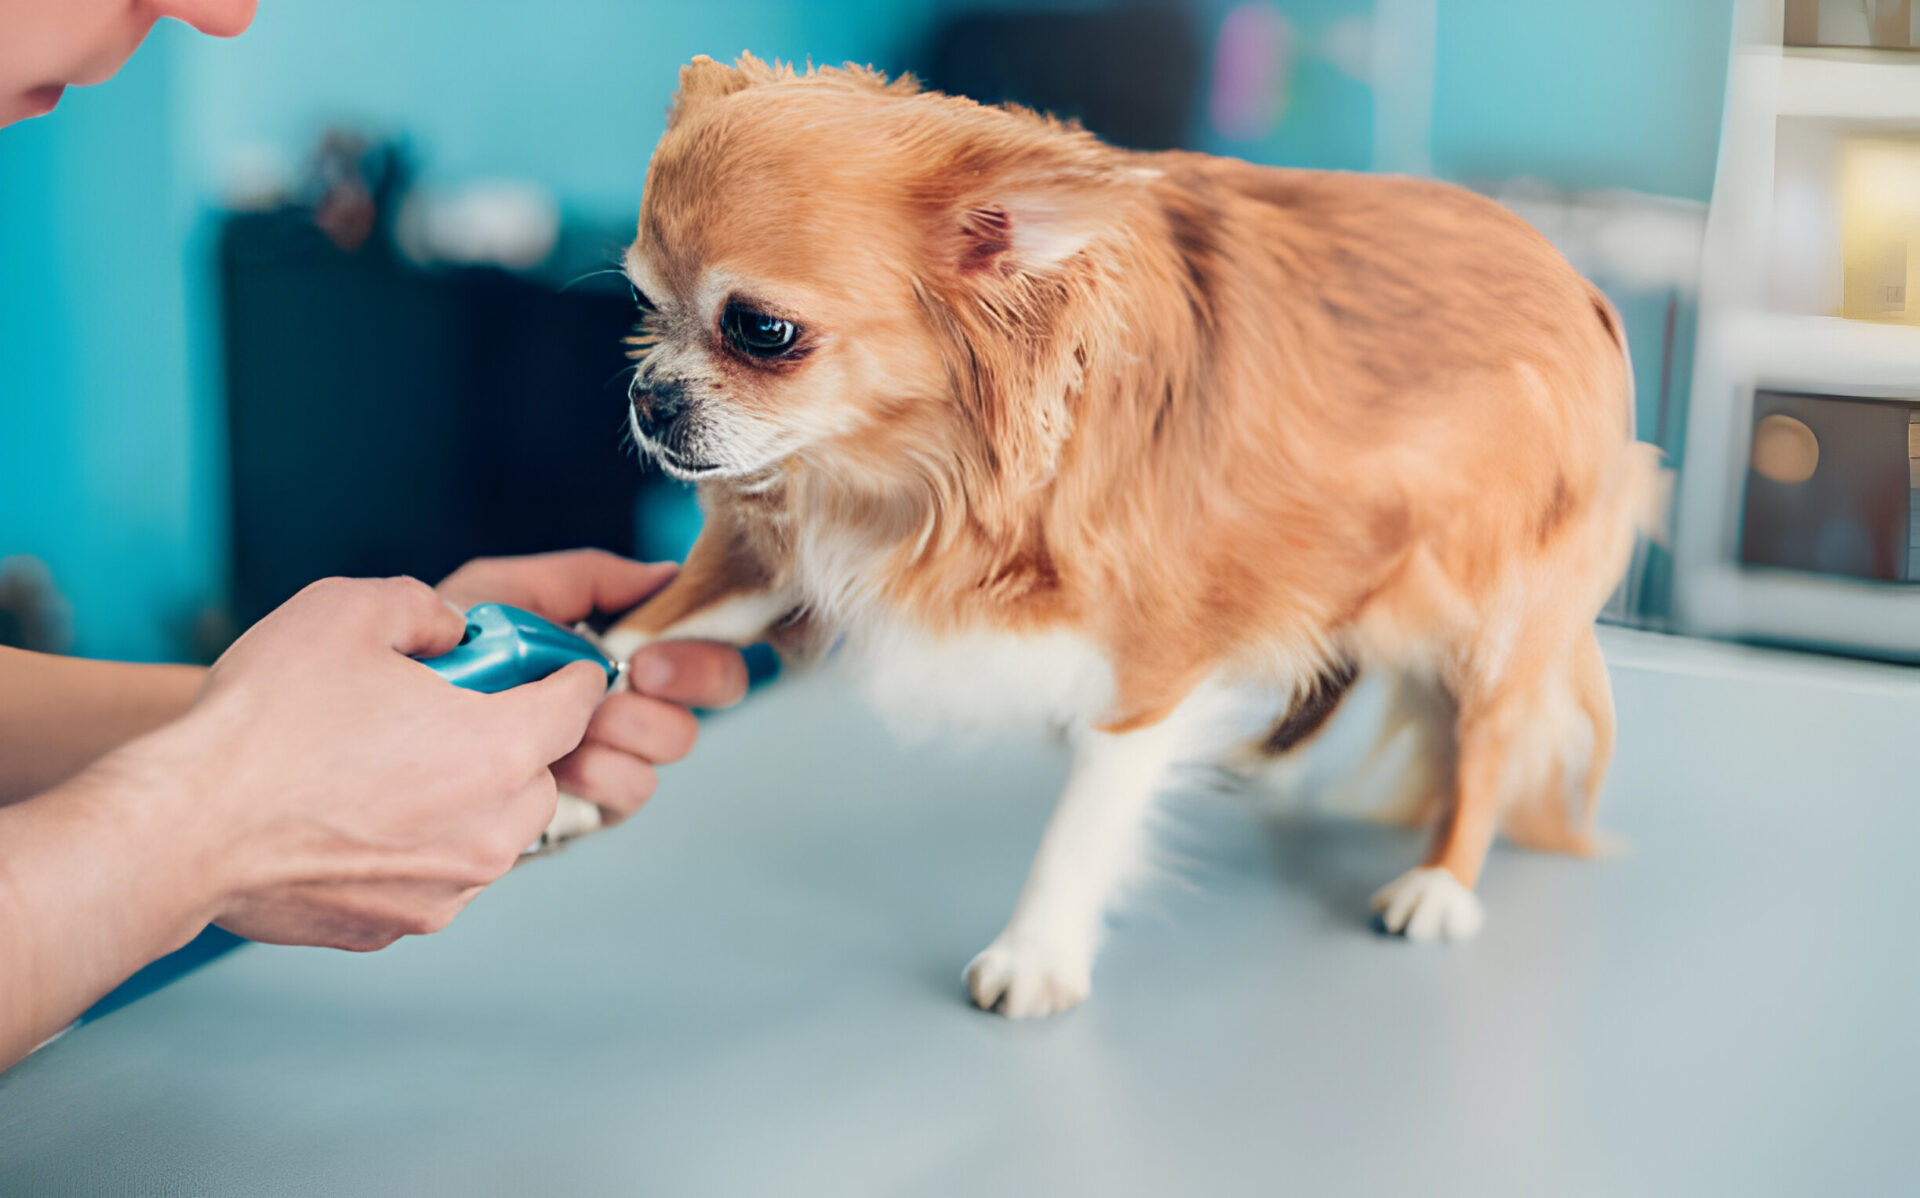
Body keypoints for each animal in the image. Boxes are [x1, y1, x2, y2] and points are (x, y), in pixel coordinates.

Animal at [591, 51, 1658, 1013]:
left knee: (1483, 745)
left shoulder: (1148, 662)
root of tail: (1579, 286)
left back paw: (1440, 883)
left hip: (1486, 612)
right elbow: (641, 632)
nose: (649, 399)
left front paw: (1035, 955)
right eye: (642, 305)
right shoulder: (784, 553)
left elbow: (1082, 828)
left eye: (762, 331)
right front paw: (574, 758)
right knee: (1337, 658)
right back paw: (1269, 760)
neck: (902, 476)